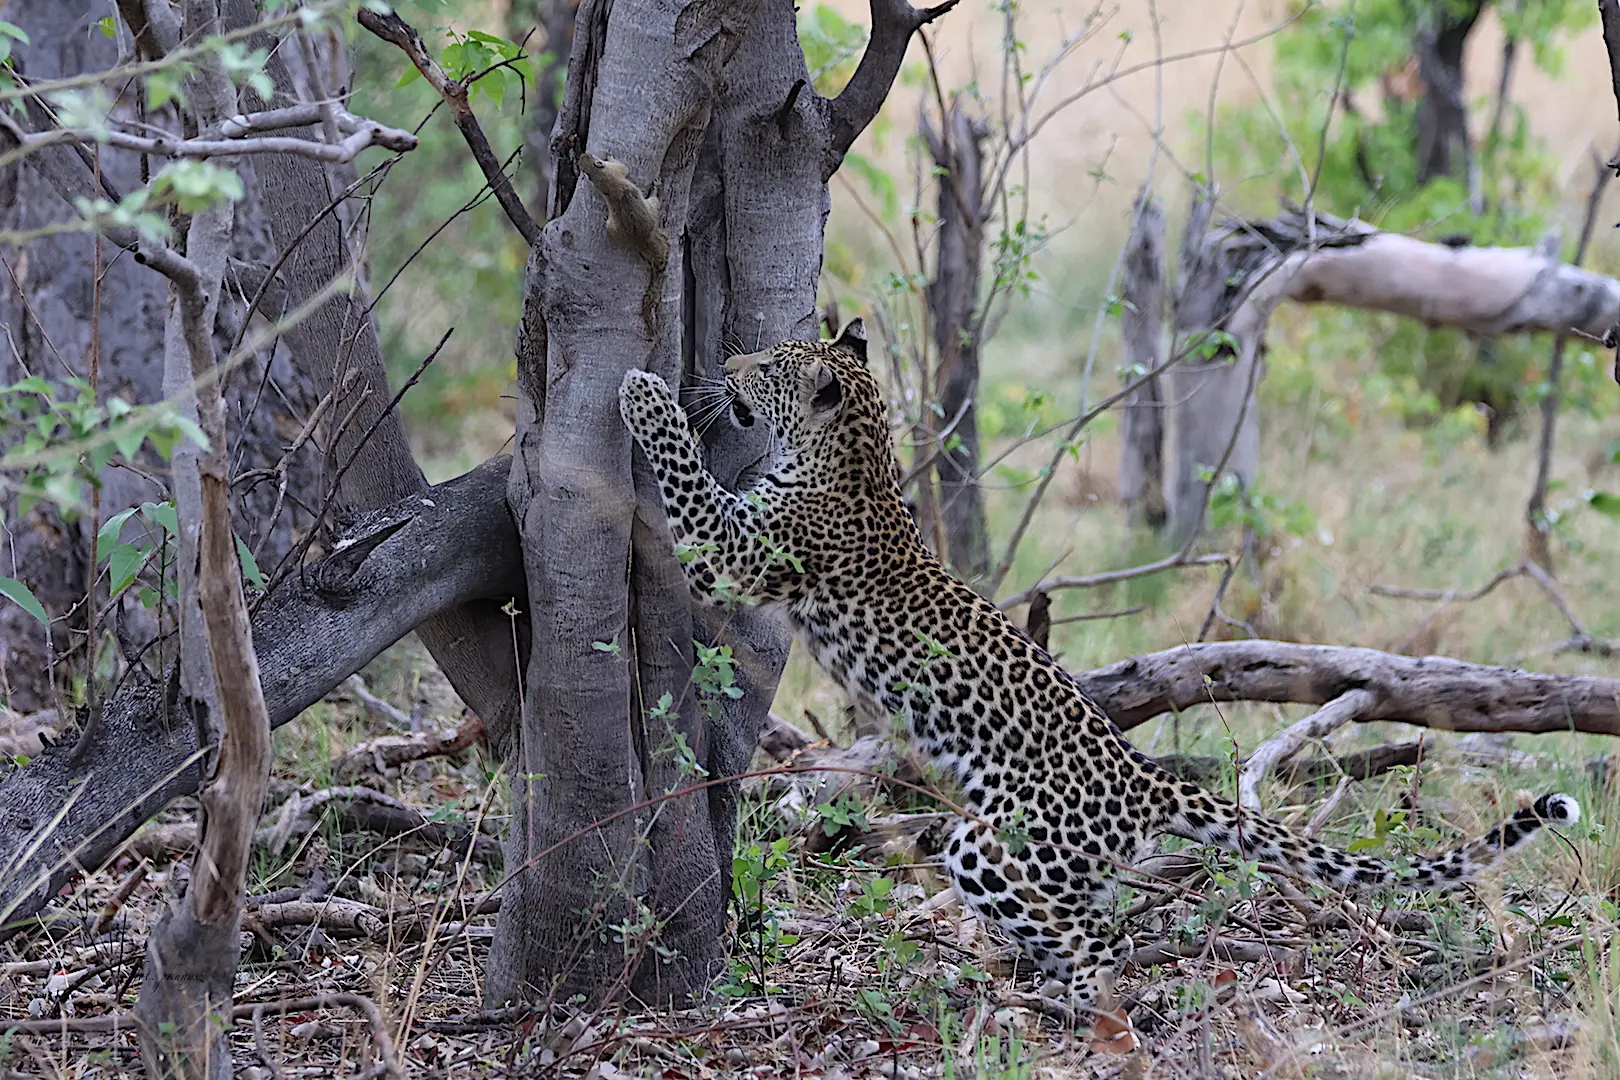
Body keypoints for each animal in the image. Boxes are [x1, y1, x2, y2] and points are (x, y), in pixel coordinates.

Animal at [579, 153, 667, 338]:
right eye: (594, 158)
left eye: (589, 157)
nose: (584, 155)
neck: (600, 175)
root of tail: (640, 239)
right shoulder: (616, 170)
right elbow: (624, 167)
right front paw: (610, 155)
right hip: (650, 208)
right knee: (655, 201)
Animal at [618, 317, 1581, 1010]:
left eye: (769, 367)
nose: (727, 362)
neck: (856, 454)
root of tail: (1143, 776)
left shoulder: (737, 553)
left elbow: (689, 482)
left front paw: (643, 392)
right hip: (1050, 863)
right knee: (1094, 921)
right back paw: (1037, 982)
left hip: (994, 842)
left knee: (1096, 941)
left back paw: (1076, 1006)